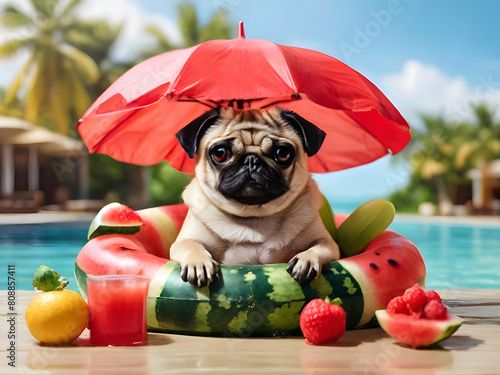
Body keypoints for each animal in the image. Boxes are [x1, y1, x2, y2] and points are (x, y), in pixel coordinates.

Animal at [171, 106, 340, 288]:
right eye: (219, 153)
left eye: (282, 153)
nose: (251, 160)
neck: (254, 217)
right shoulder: (184, 240)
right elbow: (189, 244)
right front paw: (198, 263)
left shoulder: (327, 241)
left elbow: (322, 246)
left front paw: (306, 260)